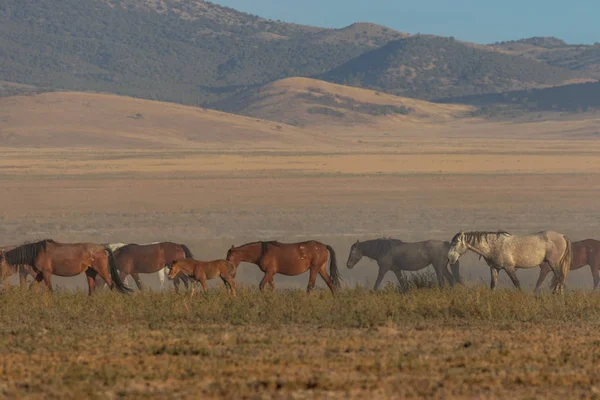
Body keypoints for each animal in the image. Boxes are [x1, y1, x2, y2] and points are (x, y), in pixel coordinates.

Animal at [0, 239, 131, 296]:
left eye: (1, 263)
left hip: (101, 270)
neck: (37, 252)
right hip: (90, 272)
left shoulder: (46, 273)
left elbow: (49, 289)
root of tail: (103, 248)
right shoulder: (40, 274)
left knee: (111, 284)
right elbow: (32, 287)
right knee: (91, 288)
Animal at [448, 231, 576, 294]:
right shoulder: (494, 268)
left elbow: (516, 283)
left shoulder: (509, 268)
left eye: (455, 243)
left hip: (553, 263)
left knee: (559, 277)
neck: (494, 245)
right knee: (560, 278)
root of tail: (562, 236)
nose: (449, 259)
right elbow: (493, 285)